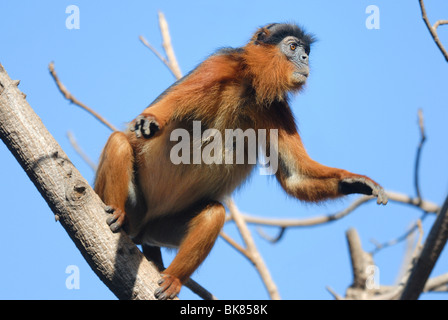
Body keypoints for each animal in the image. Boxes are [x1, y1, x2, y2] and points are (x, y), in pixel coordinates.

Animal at [95, 23, 388, 300]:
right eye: (293, 47)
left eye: (306, 51)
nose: (305, 58)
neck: (250, 86)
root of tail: (142, 226)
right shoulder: (222, 63)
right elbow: (161, 111)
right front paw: (152, 117)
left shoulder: (276, 107)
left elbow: (295, 176)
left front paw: (355, 182)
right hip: (132, 205)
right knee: (119, 142)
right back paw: (118, 213)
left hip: (159, 227)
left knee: (214, 213)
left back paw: (173, 278)